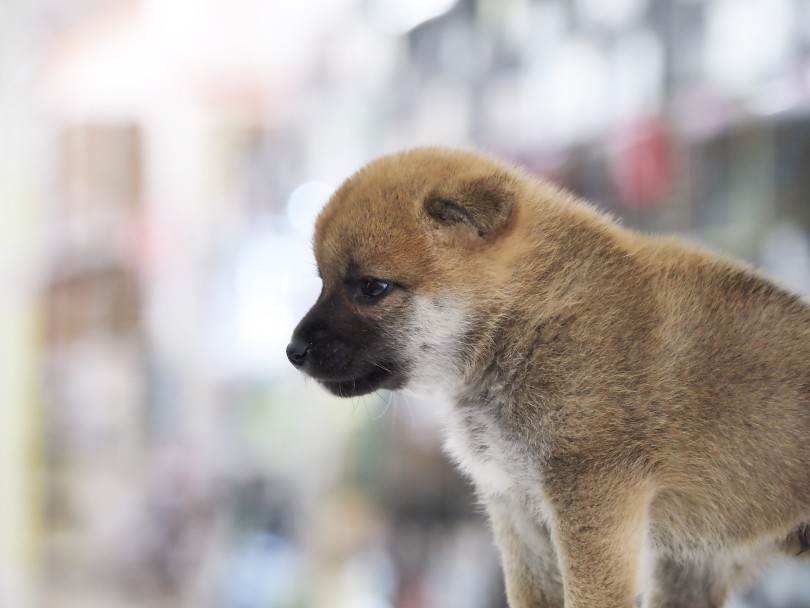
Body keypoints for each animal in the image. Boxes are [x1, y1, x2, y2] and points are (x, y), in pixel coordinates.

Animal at [286, 148, 808, 608]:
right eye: (323, 282)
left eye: (372, 288)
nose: (293, 352)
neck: (532, 316)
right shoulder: (518, 513)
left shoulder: (596, 499)